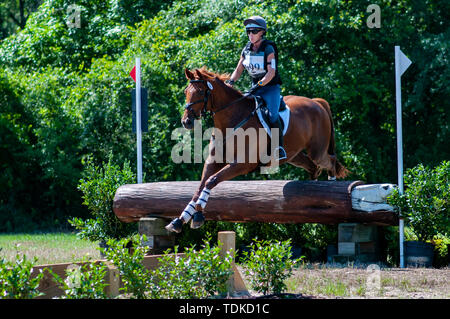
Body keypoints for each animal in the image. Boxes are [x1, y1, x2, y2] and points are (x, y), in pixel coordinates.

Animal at [165, 66, 348, 234]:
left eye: (201, 91)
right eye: (186, 92)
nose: (186, 122)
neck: (232, 120)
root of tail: (317, 102)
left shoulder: (243, 164)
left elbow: (211, 181)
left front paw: (198, 215)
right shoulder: (214, 161)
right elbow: (200, 186)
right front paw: (180, 219)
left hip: (317, 151)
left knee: (329, 161)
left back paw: (331, 188)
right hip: (294, 155)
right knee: (313, 168)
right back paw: (311, 190)